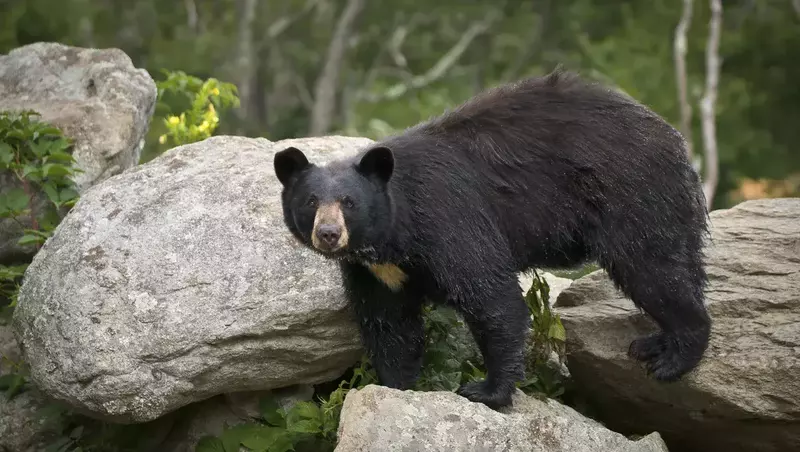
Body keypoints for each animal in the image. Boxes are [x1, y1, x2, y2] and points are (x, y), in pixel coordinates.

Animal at [273, 68, 712, 409]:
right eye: (311, 201)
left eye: (349, 202)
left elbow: (491, 297)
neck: (394, 237)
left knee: (653, 269)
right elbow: (389, 323)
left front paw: (487, 390)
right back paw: (655, 345)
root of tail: (674, 139)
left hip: (632, 195)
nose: (329, 234)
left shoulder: (449, 220)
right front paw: (395, 385)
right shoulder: (375, 271)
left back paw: (673, 356)